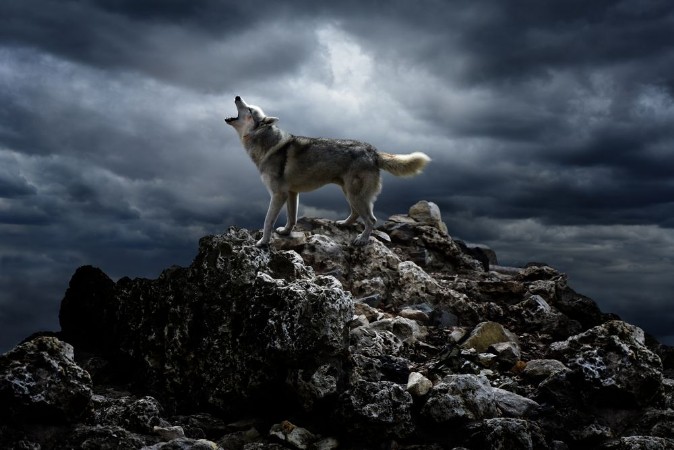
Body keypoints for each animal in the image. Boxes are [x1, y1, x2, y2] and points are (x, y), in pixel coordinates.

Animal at [225, 96, 430, 247]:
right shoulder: (291, 193)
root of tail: (373, 150)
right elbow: (291, 218)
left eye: (250, 109)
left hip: (355, 194)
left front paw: (263, 242)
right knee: (356, 214)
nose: (237, 96)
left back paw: (362, 240)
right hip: (349, 193)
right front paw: (286, 232)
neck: (266, 143)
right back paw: (343, 224)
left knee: (371, 219)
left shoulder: (278, 194)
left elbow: (268, 221)